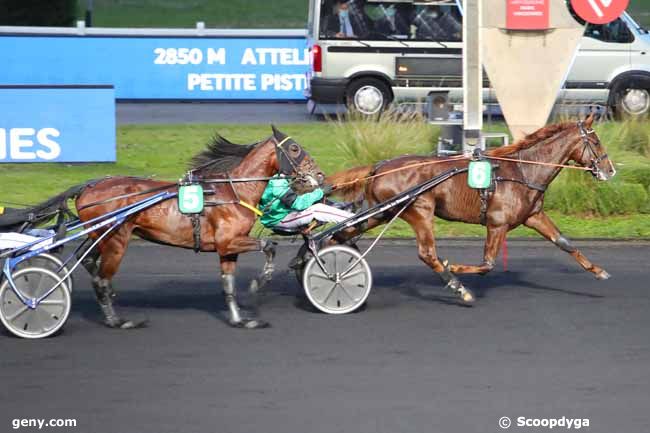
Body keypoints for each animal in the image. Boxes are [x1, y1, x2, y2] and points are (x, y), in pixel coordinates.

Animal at [69, 126, 322, 330]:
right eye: (294, 148)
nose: (319, 174)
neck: (233, 192)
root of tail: (88, 188)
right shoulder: (228, 241)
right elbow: (269, 245)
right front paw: (259, 281)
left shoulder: (228, 249)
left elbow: (228, 284)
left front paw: (239, 319)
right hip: (116, 240)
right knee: (102, 279)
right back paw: (117, 320)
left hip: (100, 237)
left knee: (89, 261)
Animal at [326, 115, 616, 304]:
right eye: (597, 142)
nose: (610, 170)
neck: (522, 170)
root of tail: (380, 166)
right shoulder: (497, 224)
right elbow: (487, 264)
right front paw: (453, 267)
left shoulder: (533, 216)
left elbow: (565, 243)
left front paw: (598, 271)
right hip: (419, 210)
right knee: (427, 253)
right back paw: (458, 287)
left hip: (382, 211)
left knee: (342, 234)